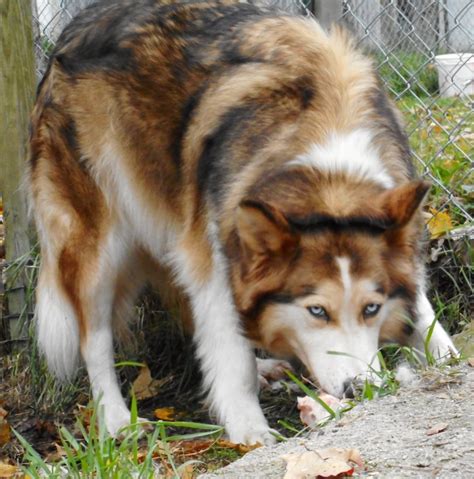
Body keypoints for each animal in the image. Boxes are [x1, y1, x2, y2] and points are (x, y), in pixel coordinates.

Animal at [28, 0, 456, 446]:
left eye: (371, 307)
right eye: (317, 311)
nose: (360, 389)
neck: (329, 162)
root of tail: (76, 26)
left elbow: (424, 312)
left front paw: (443, 356)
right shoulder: (217, 254)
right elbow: (232, 358)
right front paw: (250, 430)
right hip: (98, 250)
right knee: (93, 339)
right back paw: (115, 420)